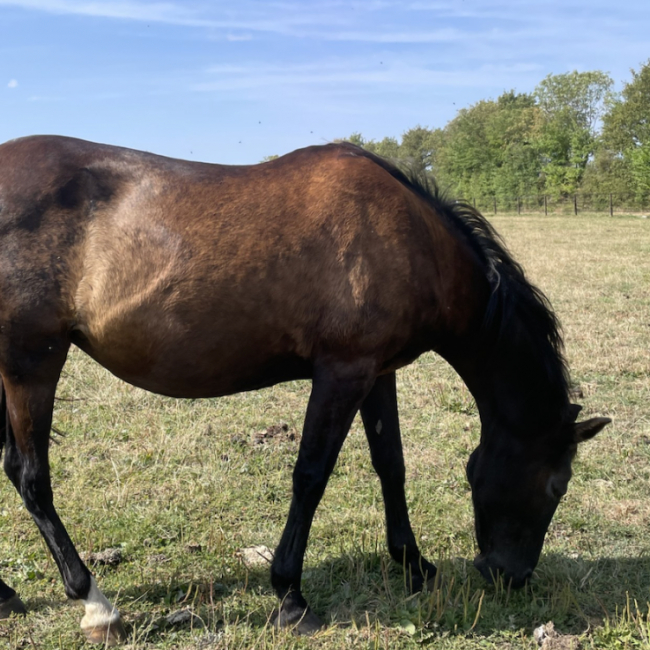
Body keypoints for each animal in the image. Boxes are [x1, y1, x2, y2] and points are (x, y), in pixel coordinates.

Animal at [0, 135, 610, 644]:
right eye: (557, 485)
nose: (511, 576)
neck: (412, 240)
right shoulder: (342, 372)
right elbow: (311, 477)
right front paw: (291, 596)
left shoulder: (378, 372)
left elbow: (391, 465)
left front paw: (413, 564)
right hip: (32, 361)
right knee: (32, 479)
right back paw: (95, 603)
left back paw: (9, 595)